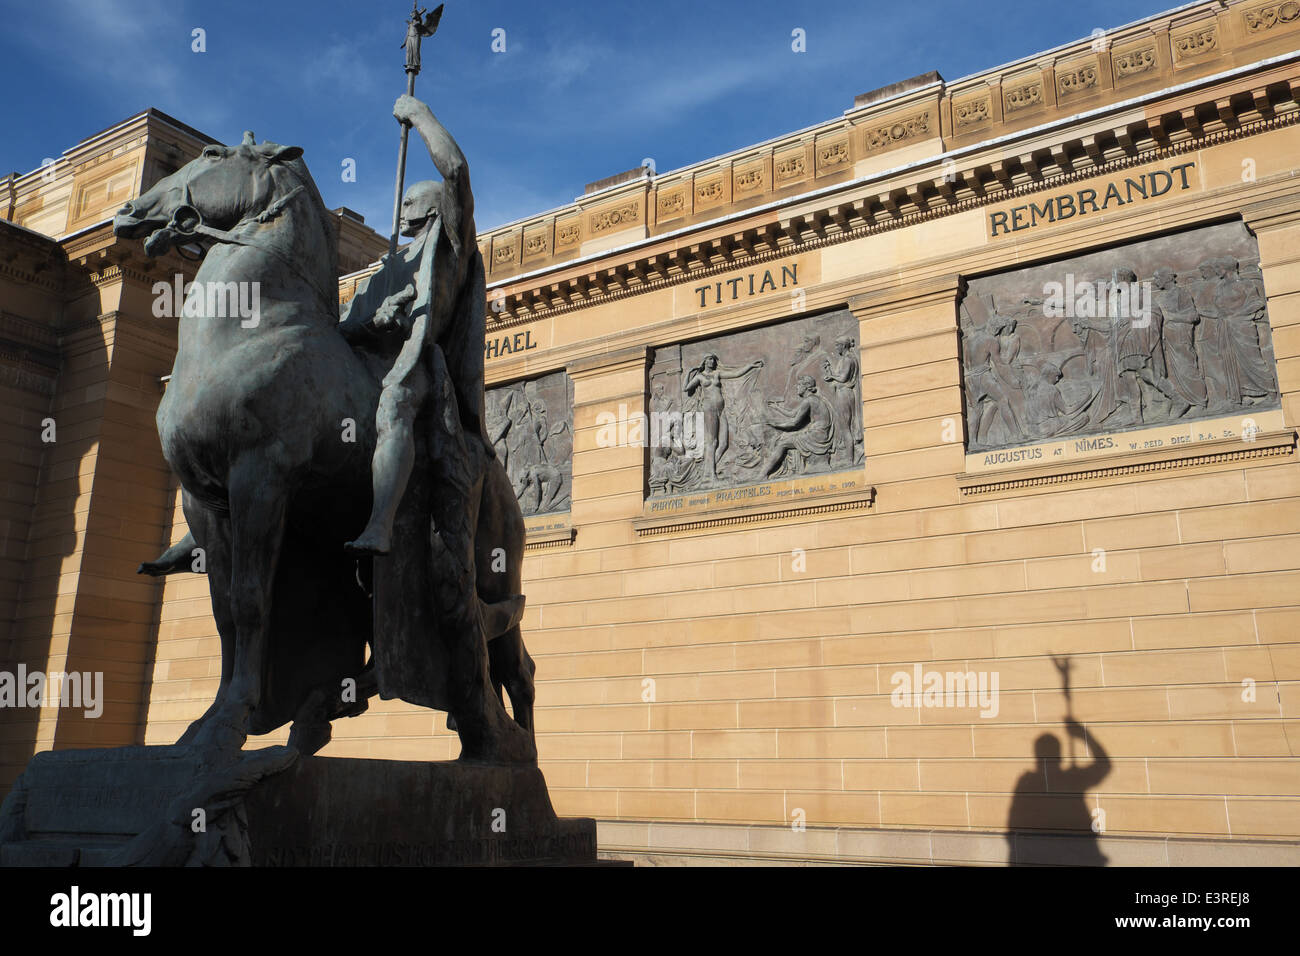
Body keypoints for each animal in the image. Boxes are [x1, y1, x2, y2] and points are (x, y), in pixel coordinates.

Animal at [111, 132, 535, 764]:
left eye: (212, 155)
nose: (130, 212)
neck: (252, 327)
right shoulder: (202, 500)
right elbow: (223, 616)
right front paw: (204, 727)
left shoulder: (261, 479)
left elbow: (251, 602)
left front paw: (229, 723)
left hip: (489, 564)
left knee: (509, 659)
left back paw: (512, 755)